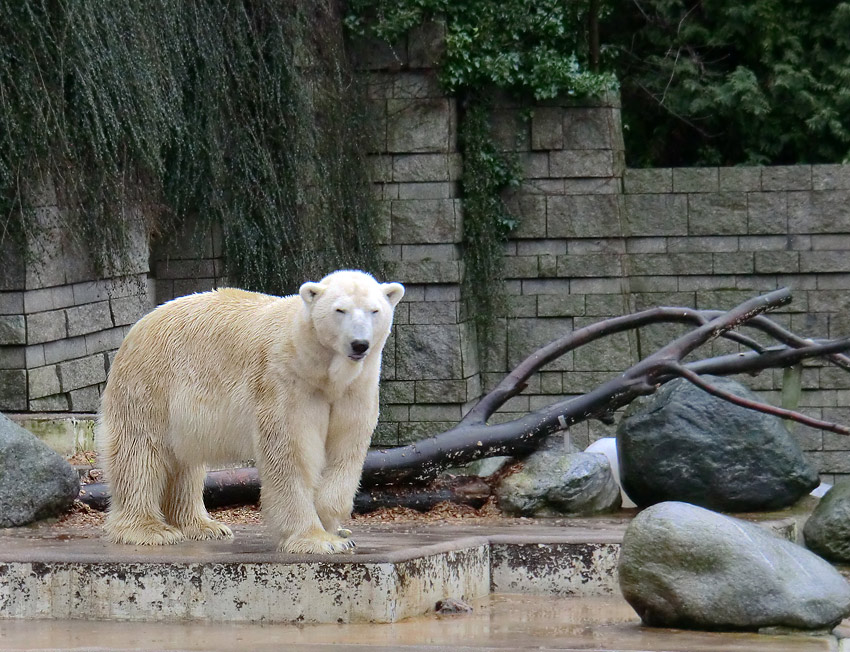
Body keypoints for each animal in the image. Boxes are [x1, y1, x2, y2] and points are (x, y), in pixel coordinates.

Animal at [97, 272, 402, 552]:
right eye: (340, 310)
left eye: (374, 310)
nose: (359, 344)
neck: (319, 369)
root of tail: (141, 324)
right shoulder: (287, 382)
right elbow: (292, 453)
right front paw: (318, 539)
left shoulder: (355, 390)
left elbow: (346, 449)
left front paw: (335, 525)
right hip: (151, 383)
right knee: (140, 452)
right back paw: (150, 529)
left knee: (185, 462)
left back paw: (203, 526)